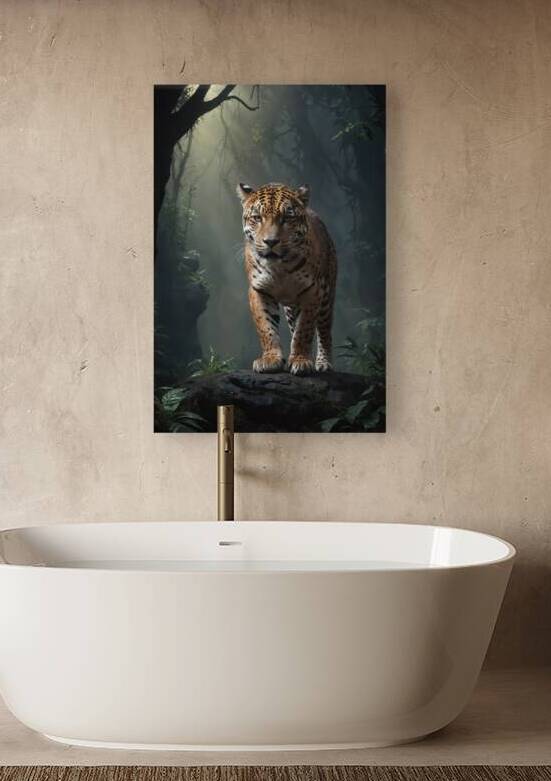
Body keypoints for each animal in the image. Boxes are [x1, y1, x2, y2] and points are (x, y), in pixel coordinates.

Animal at [237, 182, 338, 375]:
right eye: (257, 217)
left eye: (287, 218)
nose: (271, 241)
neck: (279, 268)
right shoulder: (259, 290)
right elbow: (266, 328)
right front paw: (270, 359)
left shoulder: (312, 291)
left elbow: (304, 329)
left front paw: (300, 360)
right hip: (292, 308)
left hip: (326, 297)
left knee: (324, 331)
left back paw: (324, 363)